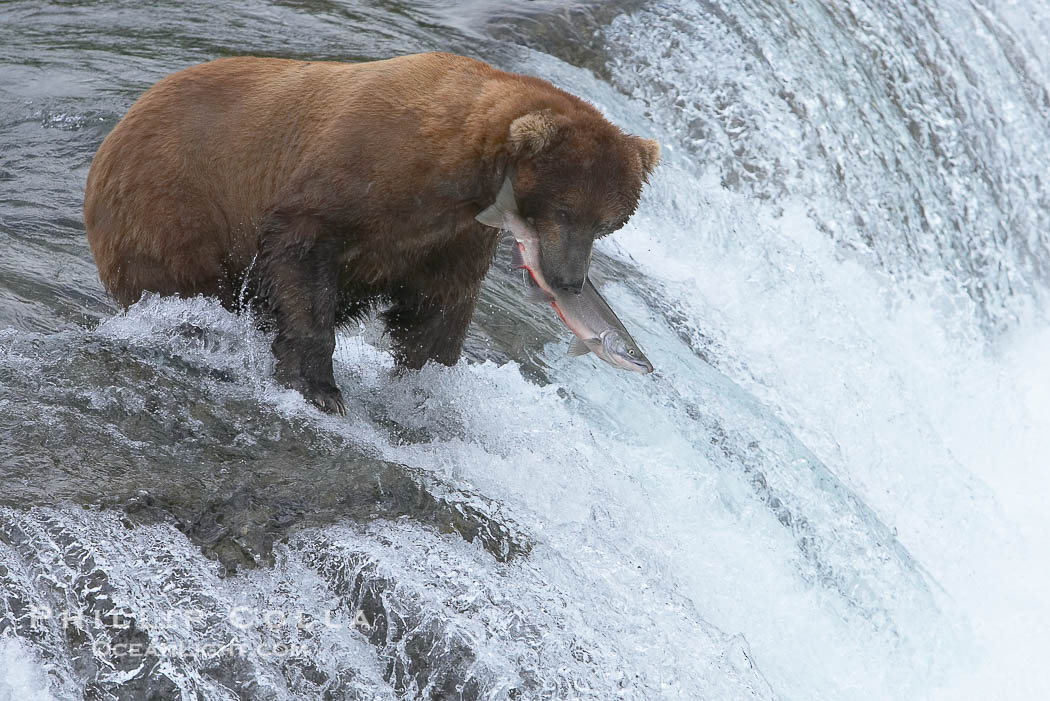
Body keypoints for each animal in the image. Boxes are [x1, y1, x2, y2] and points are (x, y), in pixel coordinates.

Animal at [84, 52, 660, 414]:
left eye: (608, 223)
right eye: (564, 211)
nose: (568, 280)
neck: (462, 176)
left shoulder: (451, 237)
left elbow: (436, 310)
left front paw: (422, 387)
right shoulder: (361, 174)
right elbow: (301, 253)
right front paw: (319, 386)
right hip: (173, 203)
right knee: (184, 283)